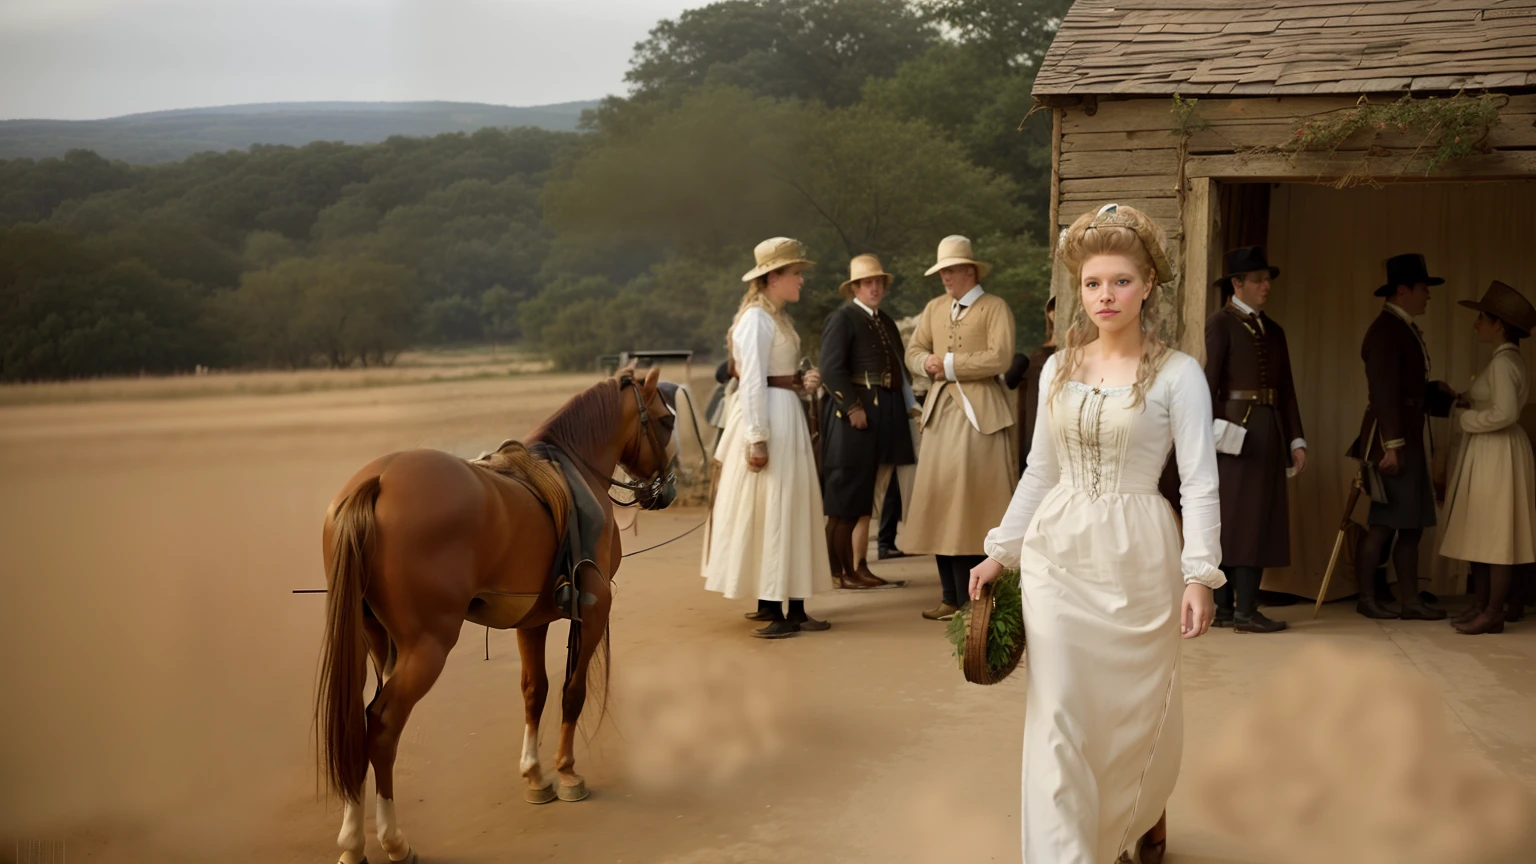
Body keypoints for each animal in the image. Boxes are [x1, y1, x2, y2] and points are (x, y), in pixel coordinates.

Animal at [314, 365, 675, 860]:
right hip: (426, 648)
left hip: (373, 640)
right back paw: (393, 839)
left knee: (355, 725)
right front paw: (567, 772)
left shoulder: (535, 618)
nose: (669, 488)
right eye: (666, 420)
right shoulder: (595, 607)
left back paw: (352, 840)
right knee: (382, 727)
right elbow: (573, 691)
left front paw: (536, 775)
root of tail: (379, 481)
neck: (576, 468)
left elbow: (534, 691)